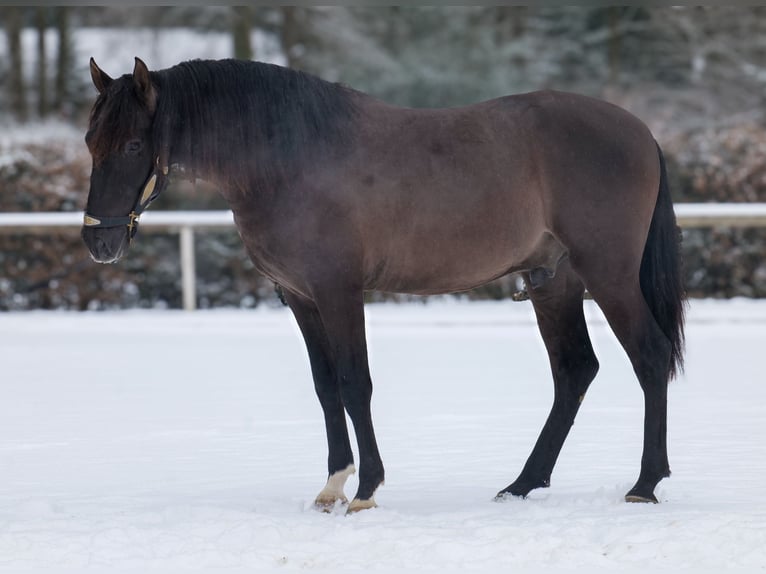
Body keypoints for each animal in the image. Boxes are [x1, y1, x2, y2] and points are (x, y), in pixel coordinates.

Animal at [82, 57, 685, 512]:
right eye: (90, 141)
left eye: (133, 145)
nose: (97, 241)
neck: (290, 157)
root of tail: (642, 132)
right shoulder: (299, 298)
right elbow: (326, 387)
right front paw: (332, 485)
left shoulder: (339, 292)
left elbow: (355, 384)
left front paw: (367, 489)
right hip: (553, 282)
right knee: (574, 371)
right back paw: (521, 484)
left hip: (607, 273)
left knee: (650, 357)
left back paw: (644, 484)